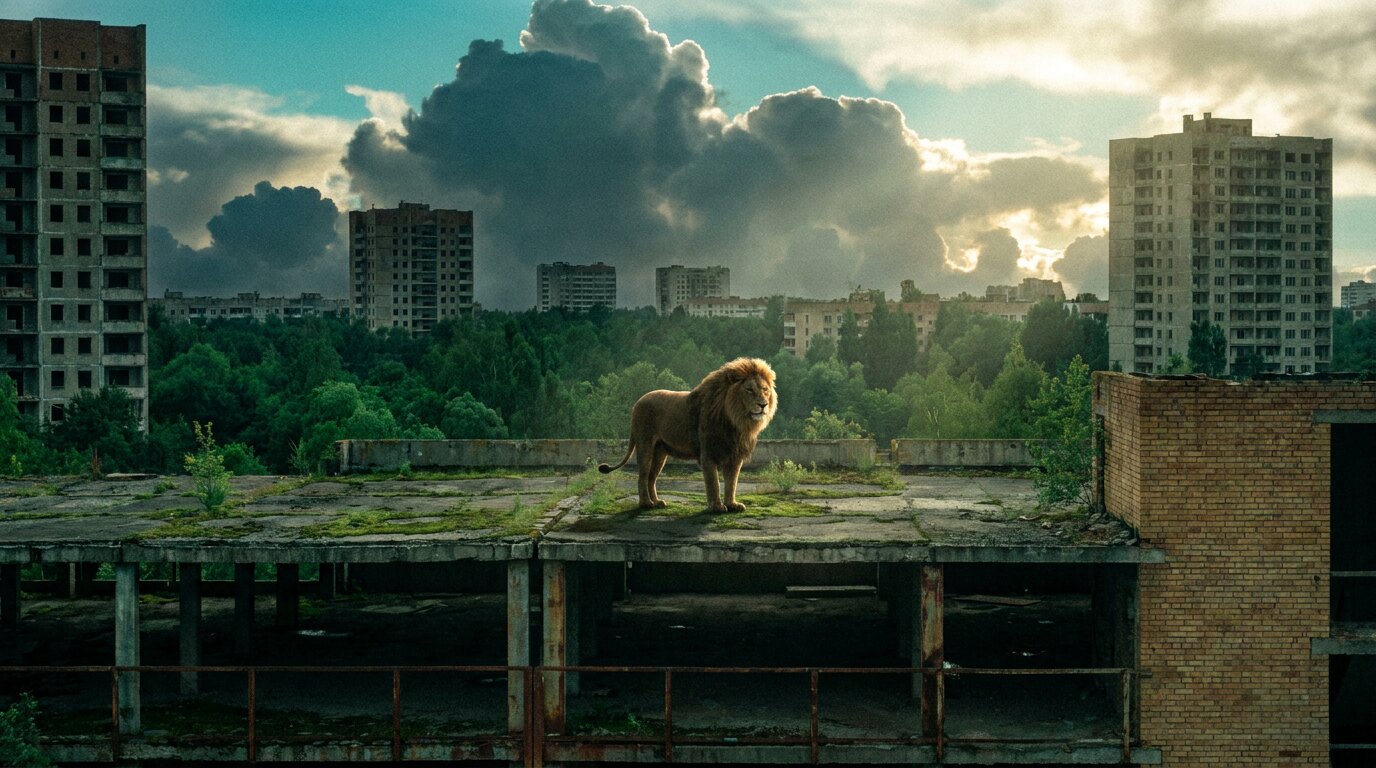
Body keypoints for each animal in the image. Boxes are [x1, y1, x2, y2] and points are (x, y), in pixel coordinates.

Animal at [598, 357, 778, 513]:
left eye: (765, 390)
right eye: (749, 390)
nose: (763, 405)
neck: (735, 420)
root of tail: (637, 403)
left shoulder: (734, 455)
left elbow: (732, 483)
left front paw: (732, 505)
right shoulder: (708, 453)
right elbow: (713, 482)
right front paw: (717, 507)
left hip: (660, 452)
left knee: (651, 477)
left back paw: (657, 502)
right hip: (645, 444)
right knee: (642, 476)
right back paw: (646, 503)